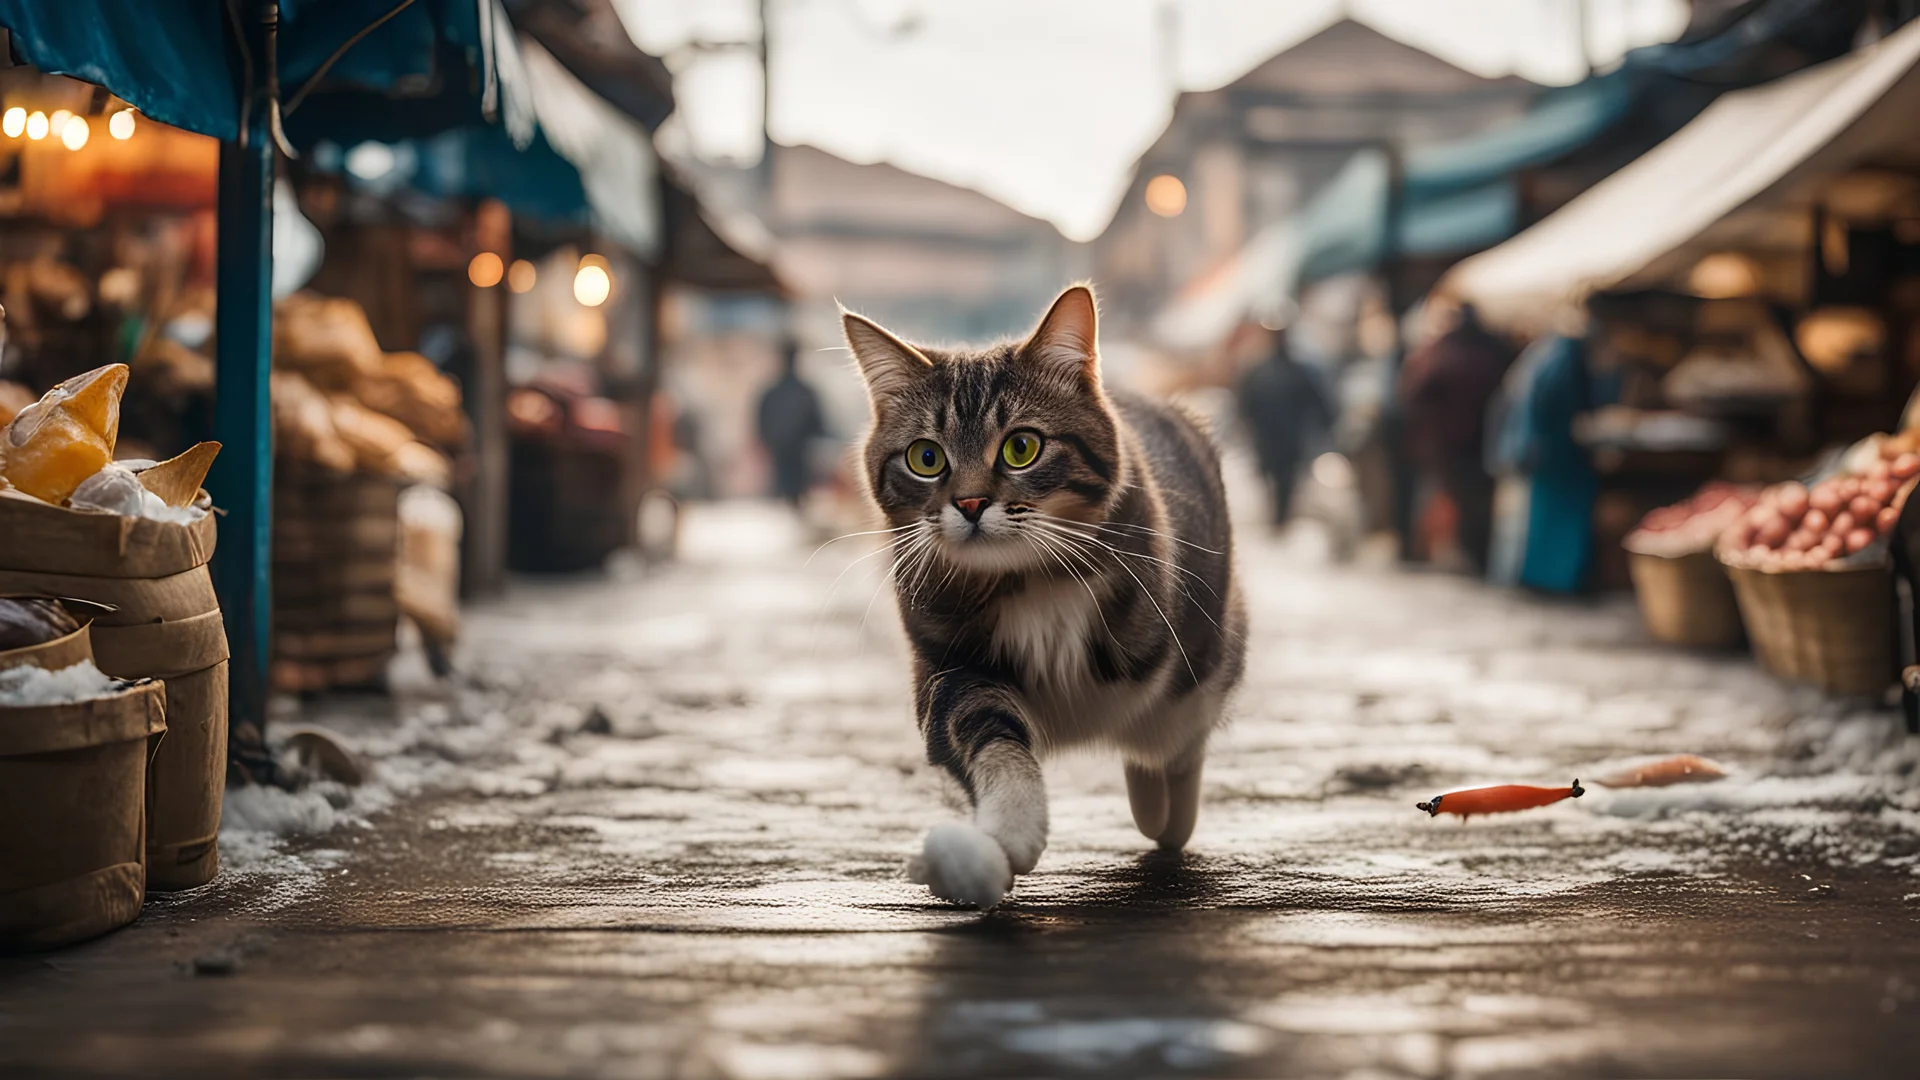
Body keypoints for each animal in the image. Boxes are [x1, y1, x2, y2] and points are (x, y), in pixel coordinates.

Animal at [840, 282, 1244, 903]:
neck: (1027, 579)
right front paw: (1007, 833)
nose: (971, 504)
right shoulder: (950, 670)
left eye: (1021, 447)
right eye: (926, 458)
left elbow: (1176, 736)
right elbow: (994, 740)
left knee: (1171, 744)